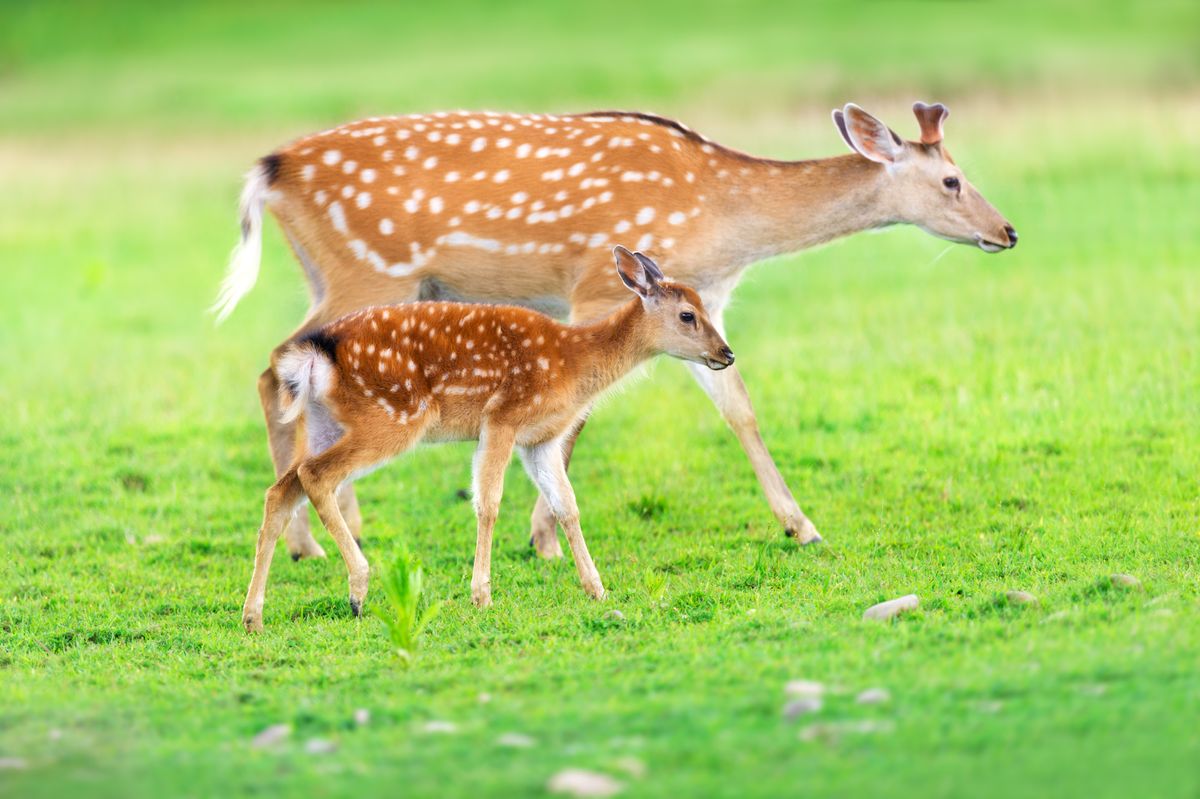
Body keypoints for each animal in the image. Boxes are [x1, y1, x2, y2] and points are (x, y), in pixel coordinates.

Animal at [216, 101, 1012, 559]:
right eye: (952, 180)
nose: (1006, 230)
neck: (726, 226)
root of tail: (269, 171)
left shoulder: (701, 307)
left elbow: (739, 409)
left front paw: (802, 525)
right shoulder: (598, 289)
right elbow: (577, 413)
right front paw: (543, 540)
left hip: (340, 279)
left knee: (287, 367)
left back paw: (331, 529)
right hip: (368, 271)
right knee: (276, 363)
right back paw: (314, 542)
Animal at [241, 245, 729, 623]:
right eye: (688, 315)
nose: (726, 353)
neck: (574, 363)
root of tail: (315, 355)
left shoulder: (541, 440)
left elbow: (567, 506)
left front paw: (597, 589)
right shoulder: (502, 416)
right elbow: (489, 503)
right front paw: (481, 596)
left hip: (326, 422)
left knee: (281, 488)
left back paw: (253, 616)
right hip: (392, 416)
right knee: (315, 476)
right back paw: (358, 591)